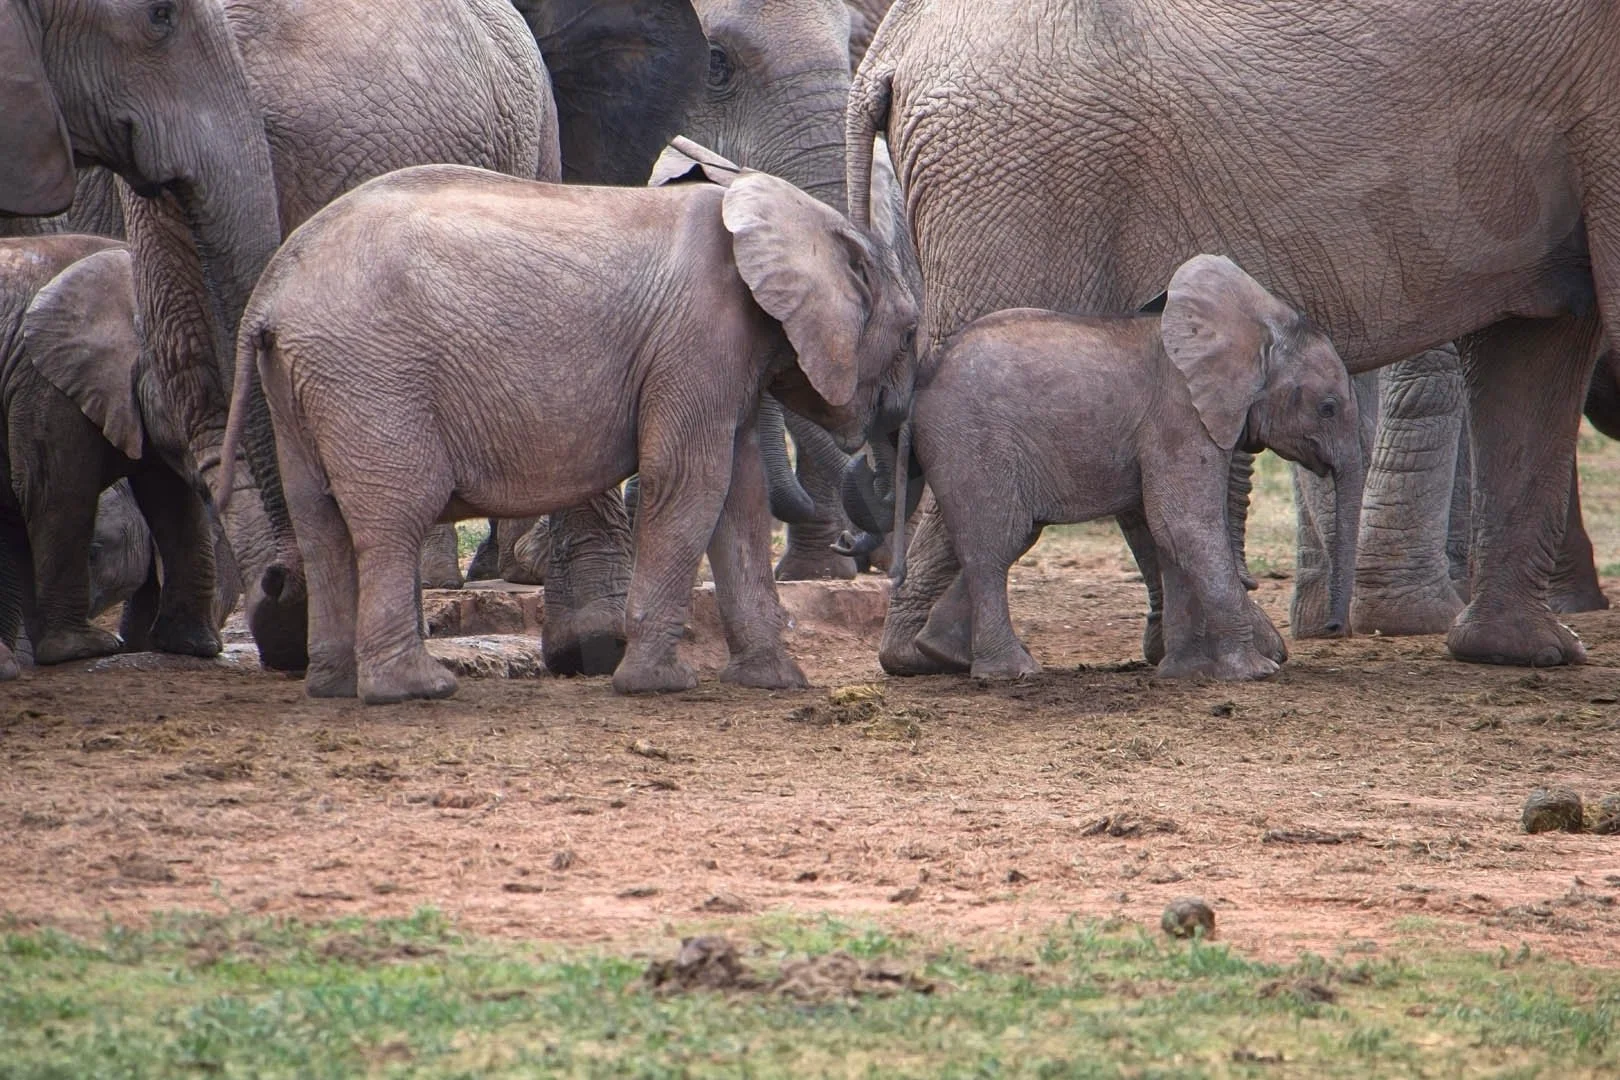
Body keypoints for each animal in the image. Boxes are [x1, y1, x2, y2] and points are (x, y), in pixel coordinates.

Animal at [222, 165, 916, 703]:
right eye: (911, 334)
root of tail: (269, 296)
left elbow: (738, 499)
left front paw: (774, 683)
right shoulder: (700, 337)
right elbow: (689, 482)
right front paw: (660, 686)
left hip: (306, 383)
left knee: (320, 523)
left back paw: (333, 688)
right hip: (372, 376)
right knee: (393, 518)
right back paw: (418, 690)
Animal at [881, 256, 1360, 680]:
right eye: (1328, 408)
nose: (1335, 628)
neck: (1251, 327)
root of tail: (925, 375)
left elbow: (1167, 535)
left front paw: (1187, 672)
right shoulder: (1180, 415)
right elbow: (1185, 525)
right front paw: (1254, 672)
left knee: (1011, 537)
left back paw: (942, 651)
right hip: (971, 439)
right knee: (997, 543)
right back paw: (1012, 672)